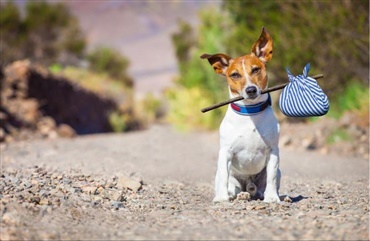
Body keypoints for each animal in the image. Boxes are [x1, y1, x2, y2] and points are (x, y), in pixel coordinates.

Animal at [202, 26, 280, 203]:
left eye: (256, 69)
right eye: (235, 75)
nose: (251, 90)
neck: (250, 113)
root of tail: (248, 184)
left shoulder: (273, 151)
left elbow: (271, 176)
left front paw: (272, 198)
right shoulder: (225, 152)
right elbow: (224, 177)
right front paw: (221, 199)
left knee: (262, 187)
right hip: (229, 177)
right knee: (233, 187)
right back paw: (239, 195)